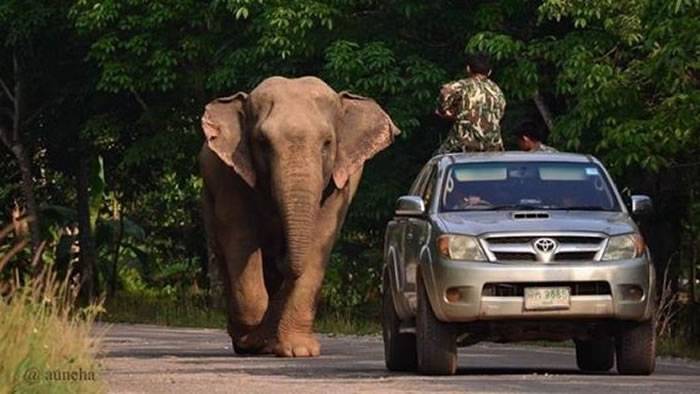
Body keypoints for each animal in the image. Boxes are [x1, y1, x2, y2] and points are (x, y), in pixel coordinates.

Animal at [201, 76, 400, 358]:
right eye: (262, 142)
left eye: (327, 143)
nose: (282, 250)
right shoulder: (230, 176)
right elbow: (239, 236)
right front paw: (254, 340)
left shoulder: (342, 183)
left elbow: (320, 240)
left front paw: (300, 351)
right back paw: (250, 342)